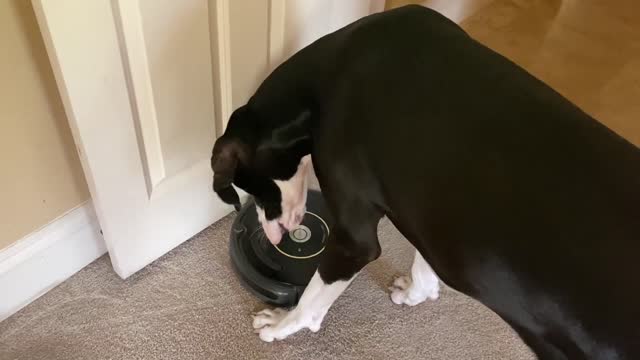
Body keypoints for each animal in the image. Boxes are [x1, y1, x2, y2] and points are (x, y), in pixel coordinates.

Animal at [211, 5, 640, 360]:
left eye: (254, 188)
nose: (275, 238)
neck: (329, 75)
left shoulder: (353, 237)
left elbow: (315, 296)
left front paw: (283, 324)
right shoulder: (423, 213)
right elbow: (425, 259)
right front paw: (418, 292)